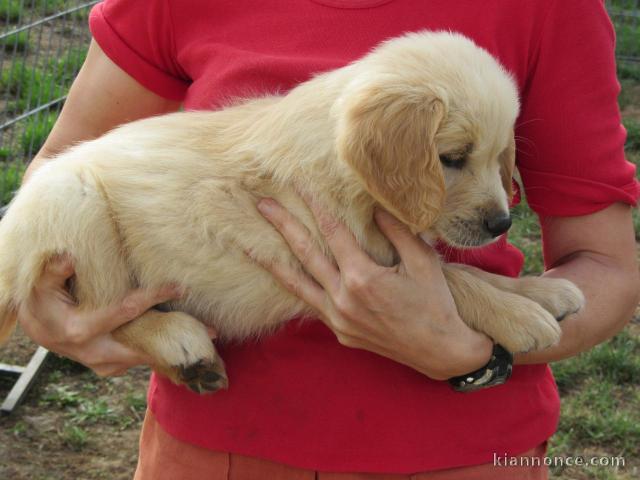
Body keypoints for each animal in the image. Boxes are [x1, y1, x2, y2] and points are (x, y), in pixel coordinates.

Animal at [0, 31, 584, 392]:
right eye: (453, 159)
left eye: (500, 154)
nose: (501, 224)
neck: (348, 177)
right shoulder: (343, 254)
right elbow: (453, 277)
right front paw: (520, 317)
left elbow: (461, 271)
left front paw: (543, 292)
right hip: (75, 202)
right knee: (108, 314)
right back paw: (180, 340)